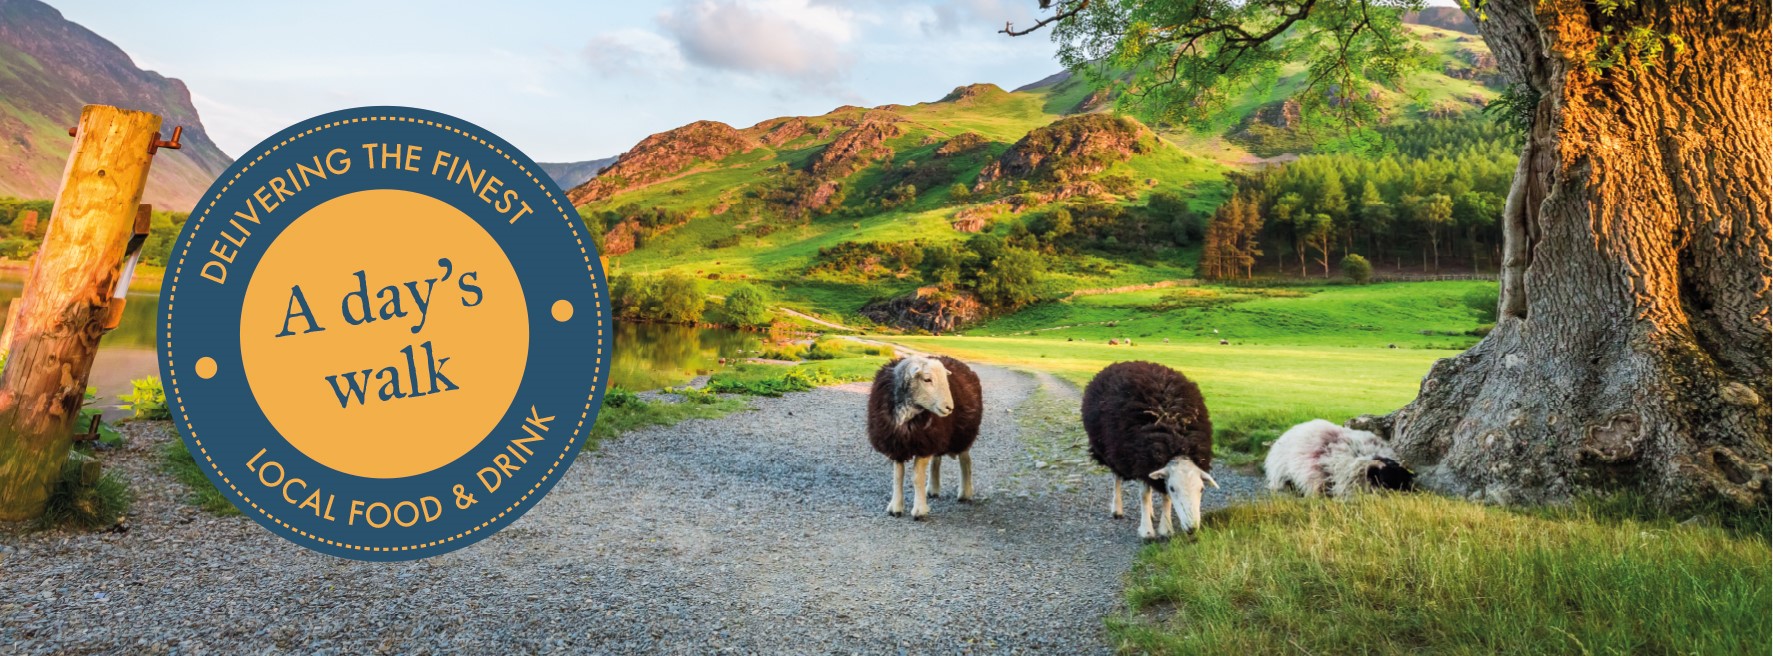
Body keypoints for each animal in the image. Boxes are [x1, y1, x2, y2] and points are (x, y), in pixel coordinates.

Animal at [868, 356, 985, 521]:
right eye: (927, 379)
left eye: (946, 380)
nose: (949, 407)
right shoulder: (897, 445)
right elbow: (898, 476)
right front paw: (895, 508)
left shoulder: (924, 444)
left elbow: (917, 478)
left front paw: (919, 511)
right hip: (939, 435)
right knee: (936, 460)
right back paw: (933, 489)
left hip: (961, 434)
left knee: (966, 460)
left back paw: (965, 493)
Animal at [1077, 361, 1219, 538]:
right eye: (1173, 488)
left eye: (1201, 489)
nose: (1192, 528)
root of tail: (1126, 362)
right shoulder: (1139, 460)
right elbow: (1144, 495)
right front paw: (1147, 531)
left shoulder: (1151, 462)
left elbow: (1164, 497)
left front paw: (1166, 528)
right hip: (1113, 452)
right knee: (1117, 478)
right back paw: (1117, 509)